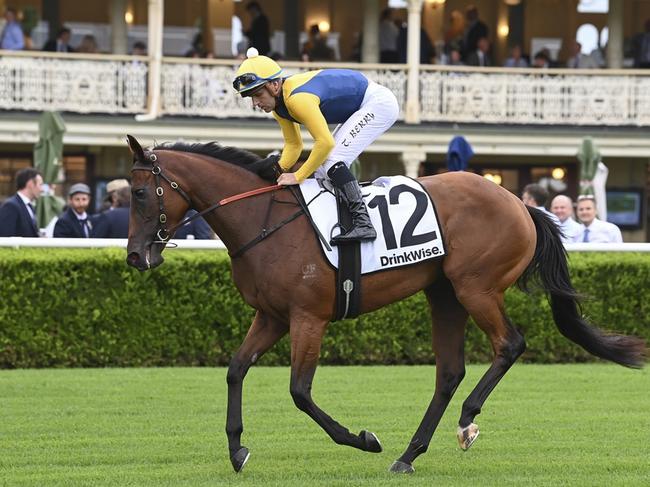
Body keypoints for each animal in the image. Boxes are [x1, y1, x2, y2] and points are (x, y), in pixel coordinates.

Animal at [123, 135, 644, 474]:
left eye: (140, 192)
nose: (134, 255)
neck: (263, 219)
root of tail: (519, 203)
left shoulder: (308, 317)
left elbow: (300, 391)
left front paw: (362, 439)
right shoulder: (271, 315)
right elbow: (235, 369)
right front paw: (236, 450)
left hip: (476, 288)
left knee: (510, 345)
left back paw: (466, 423)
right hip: (444, 294)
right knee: (449, 370)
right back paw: (409, 454)